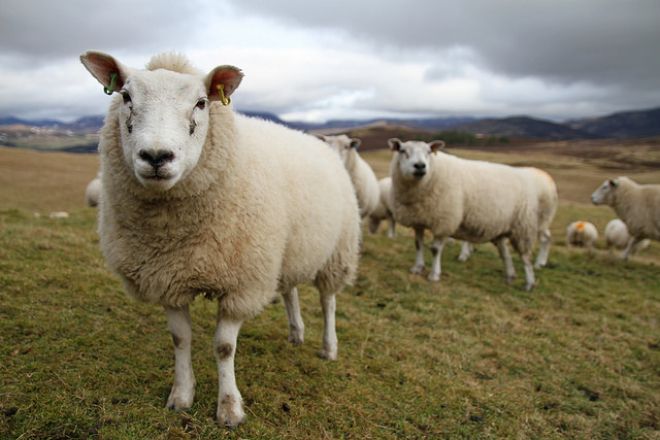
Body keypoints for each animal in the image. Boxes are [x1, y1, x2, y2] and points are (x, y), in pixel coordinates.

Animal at [82, 50, 364, 426]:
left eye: (201, 103)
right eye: (126, 97)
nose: (156, 157)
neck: (171, 235)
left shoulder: (241, 282)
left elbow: (224, 347)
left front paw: (229, 408)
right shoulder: (168, 277)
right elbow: (179, 338)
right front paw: (181, 395)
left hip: (338, 252)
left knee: (328, 301)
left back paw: (328, 347)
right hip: (286, 252)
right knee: (290, 291)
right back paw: (296, 333)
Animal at [386, 139, 540, 292]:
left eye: (429, 152)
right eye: (403, 151)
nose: (420, 166)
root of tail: (523, 175)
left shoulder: (445, 221)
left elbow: (435, 250)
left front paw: (434, 275)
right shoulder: (418, 220)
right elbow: (418, 245)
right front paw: (417, 268)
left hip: (523, 227)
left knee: (526, 257)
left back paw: (529, 283)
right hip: (501, 228)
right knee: (505, 253)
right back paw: (509, 276)